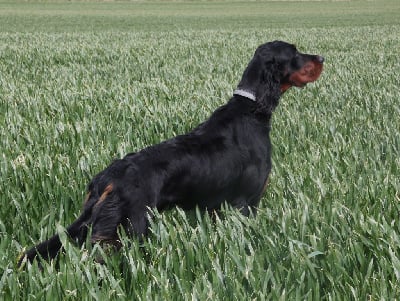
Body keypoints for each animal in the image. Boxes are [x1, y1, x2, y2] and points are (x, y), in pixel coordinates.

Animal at [18, 41, 324, 266]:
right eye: (295, 54)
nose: (322, 57)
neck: (251, 109)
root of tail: (106, 180)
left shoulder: (217, 207)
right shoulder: (247, 203)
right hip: (127, 229)